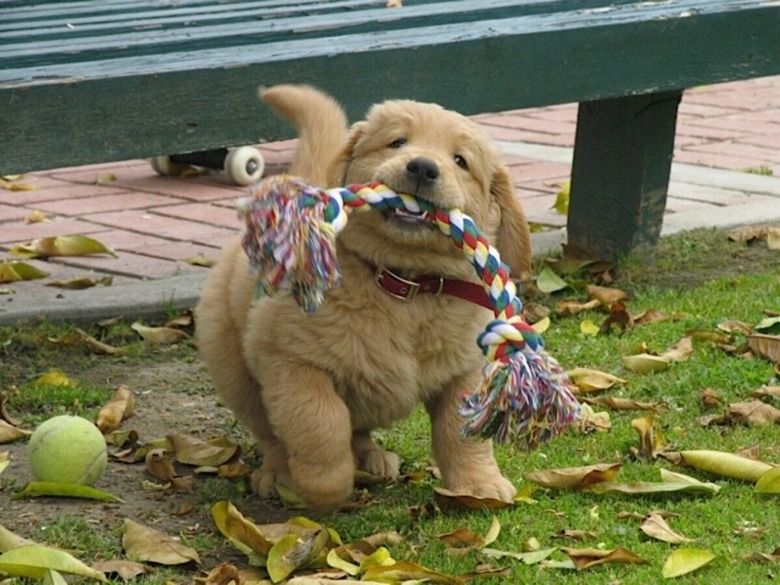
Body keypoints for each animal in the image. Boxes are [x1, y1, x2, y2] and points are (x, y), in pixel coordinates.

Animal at [197, 84, 532, 508]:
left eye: (461, 160)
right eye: (397, 142)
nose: (423, 167)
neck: (403, 283)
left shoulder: (463, 370)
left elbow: (462, 433)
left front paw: (479, 485)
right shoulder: (290, 360)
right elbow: (319, 421)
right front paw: (324, 485)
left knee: (357, 429)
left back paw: (372, 457)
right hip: (231, 363)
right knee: (270, 431)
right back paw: (279, 474)